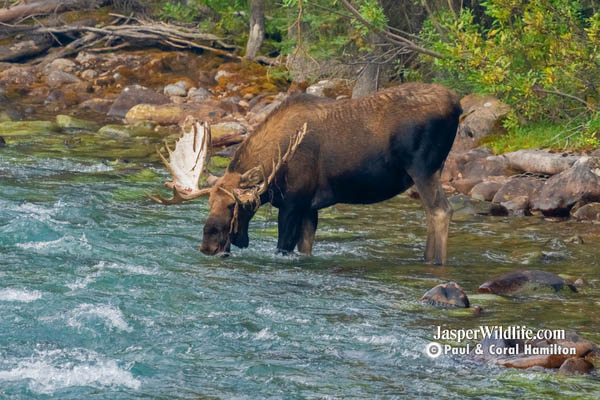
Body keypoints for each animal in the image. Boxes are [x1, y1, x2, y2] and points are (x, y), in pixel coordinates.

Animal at [148, 82, 462, 264]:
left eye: (232, 205)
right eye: (209, 202)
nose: (208, 245)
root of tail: (458, 105)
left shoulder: (292, 203)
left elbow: (282, 247)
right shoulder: (311, 207)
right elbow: (306, 248)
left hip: (422, 167)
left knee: (440, 211)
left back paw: (433, 262)